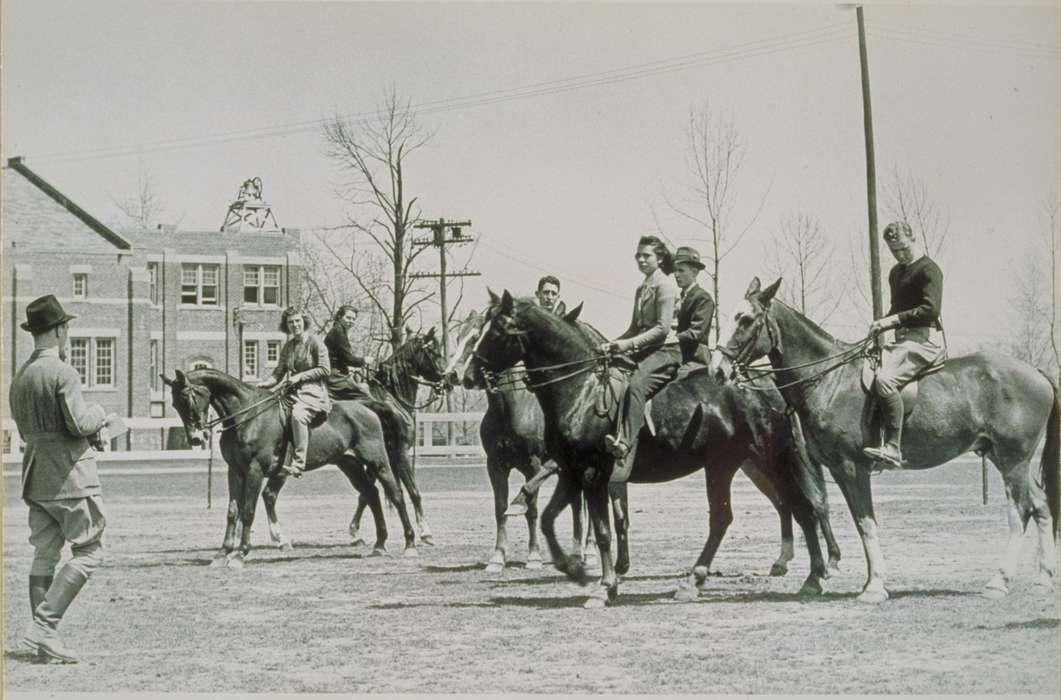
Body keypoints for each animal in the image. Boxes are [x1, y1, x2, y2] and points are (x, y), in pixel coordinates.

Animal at [163, 366, 415, 564]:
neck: (246, 417)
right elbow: (233, 511)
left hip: (377, 461)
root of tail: (368, 407)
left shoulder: (255, 470)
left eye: (187, 398)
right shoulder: (235, 472)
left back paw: (410, 542)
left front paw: (241, 553)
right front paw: (223, 552)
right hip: (350, 465)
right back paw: (379, 544)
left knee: (396, 494)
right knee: (371, 494)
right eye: (175, 404)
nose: (195, 438)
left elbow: (248, 509)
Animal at [343, 326, 447, 547]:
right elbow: (414, 492)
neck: (391, 398)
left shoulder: (380, 457)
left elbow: (365, 494)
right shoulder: (399, 453)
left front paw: (354, 531)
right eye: (433, 351)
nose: (450, 378)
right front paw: (425, 531)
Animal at [460, 290, 831, 606]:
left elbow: (603, 530)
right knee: (736, 516)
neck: (582, 389)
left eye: (497, 330)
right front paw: (575, 568)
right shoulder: (571, 472)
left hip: (770, 459)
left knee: (800, 506)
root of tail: (767, 382)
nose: (468, 375)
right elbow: (551, 519)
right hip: (725, 465)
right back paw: (700, 581)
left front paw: (604, 587)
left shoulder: (592, 474)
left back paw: (812, 577)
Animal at [717, 277, 1056, 602]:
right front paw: (848, 580)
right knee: (1041, 505)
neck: (830, 379)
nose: (719, 371)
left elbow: (866, 522)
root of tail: (1037, 372)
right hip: (1003, 458)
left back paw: (999, 582)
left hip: (1013, 460)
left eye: (746, 319)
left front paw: (875, 586)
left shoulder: (852, 468)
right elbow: (856, 522)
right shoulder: (837, 470)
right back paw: (1044, 579)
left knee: (1020, 511)